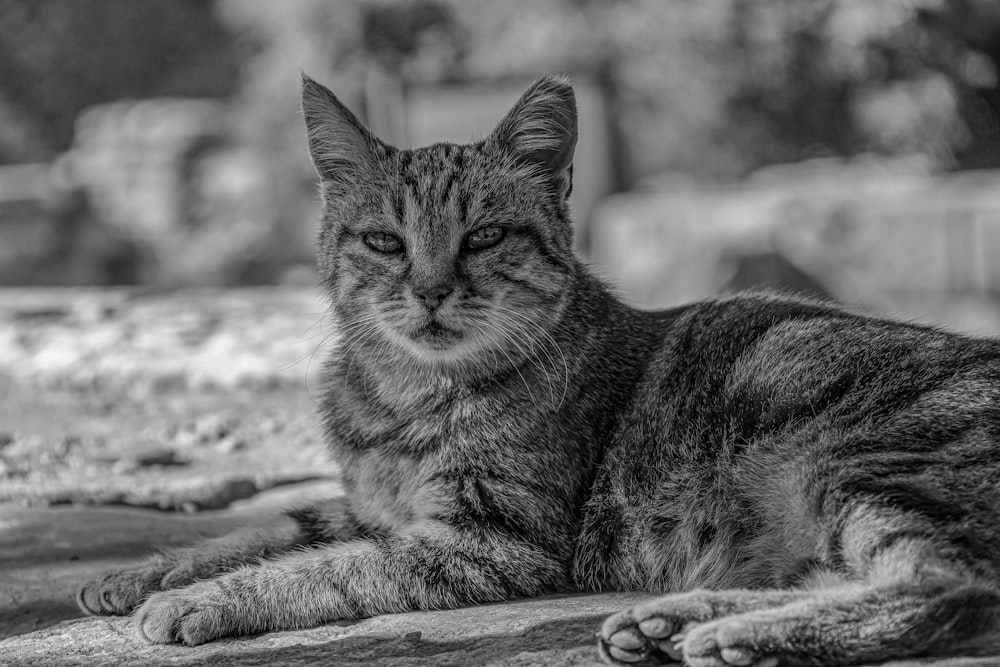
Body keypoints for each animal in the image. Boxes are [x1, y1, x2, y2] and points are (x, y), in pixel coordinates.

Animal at [76, 74, 1000, 667]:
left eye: (485, 236)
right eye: (385, 241)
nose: (430, 289)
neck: (405, 396)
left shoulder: (490, 539)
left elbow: (321, 569)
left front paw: (196, 600)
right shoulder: (369, 506)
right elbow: (262, 528)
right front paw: (138, 571)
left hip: (858, 460)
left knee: (945, 586)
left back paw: (729, 632)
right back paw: (673, 622)